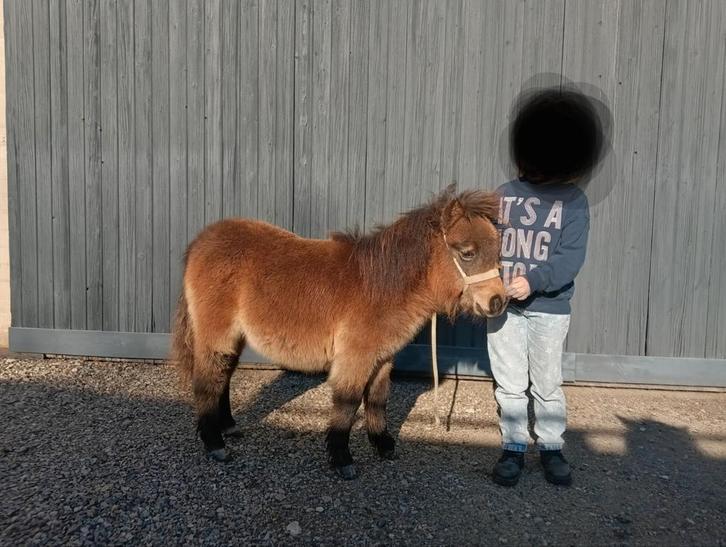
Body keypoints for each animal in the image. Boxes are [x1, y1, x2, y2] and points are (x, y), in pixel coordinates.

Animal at [171, 184, 507, 479]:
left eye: (497, 253)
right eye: (467, 253)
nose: (498, 302)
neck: (381, 286)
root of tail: (201, 240)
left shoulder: (382, 358)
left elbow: (377, 400)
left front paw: (383, 446)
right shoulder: (355, 357)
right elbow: (348, 403)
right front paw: (342, 459)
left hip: (234, 337)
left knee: (224, 376)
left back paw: (228, 426)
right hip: (216, 334)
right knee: (207, 381)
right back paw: (215, 444)